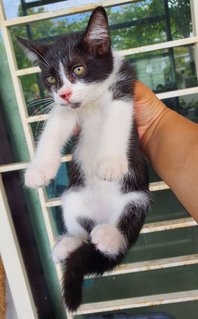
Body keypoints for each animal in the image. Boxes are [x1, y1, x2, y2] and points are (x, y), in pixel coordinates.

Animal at [19, 6, 152, 314]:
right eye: (51, 79)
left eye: (78, 69)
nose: (66, 92)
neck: (91, 101)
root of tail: (102, 218)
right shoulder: (65, 109)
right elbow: (53, 126)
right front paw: (39, 170)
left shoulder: (124, 87)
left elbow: (117, 119)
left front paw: (110, 163)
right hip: (72, 196)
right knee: (81, 229)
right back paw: (68, 244)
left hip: (137, 197)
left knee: (123, 234)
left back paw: (110, 238)